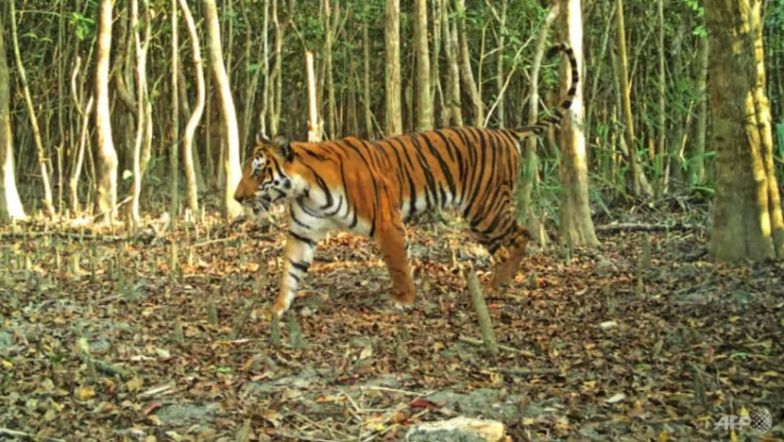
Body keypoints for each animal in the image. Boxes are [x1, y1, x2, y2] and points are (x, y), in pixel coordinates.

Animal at [234, 43, 578, 318]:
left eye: (257, 170)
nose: (237, 198)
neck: (306, 190)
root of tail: (504, 132)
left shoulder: (388, 222)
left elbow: (398, 263)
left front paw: (403, 300)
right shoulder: (302, 232)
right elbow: (289, 272)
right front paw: (275, 309)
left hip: (486, 207)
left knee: (521, 234)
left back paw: (499, 284)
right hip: (481, 215)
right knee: (503, 247)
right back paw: (496, 283)